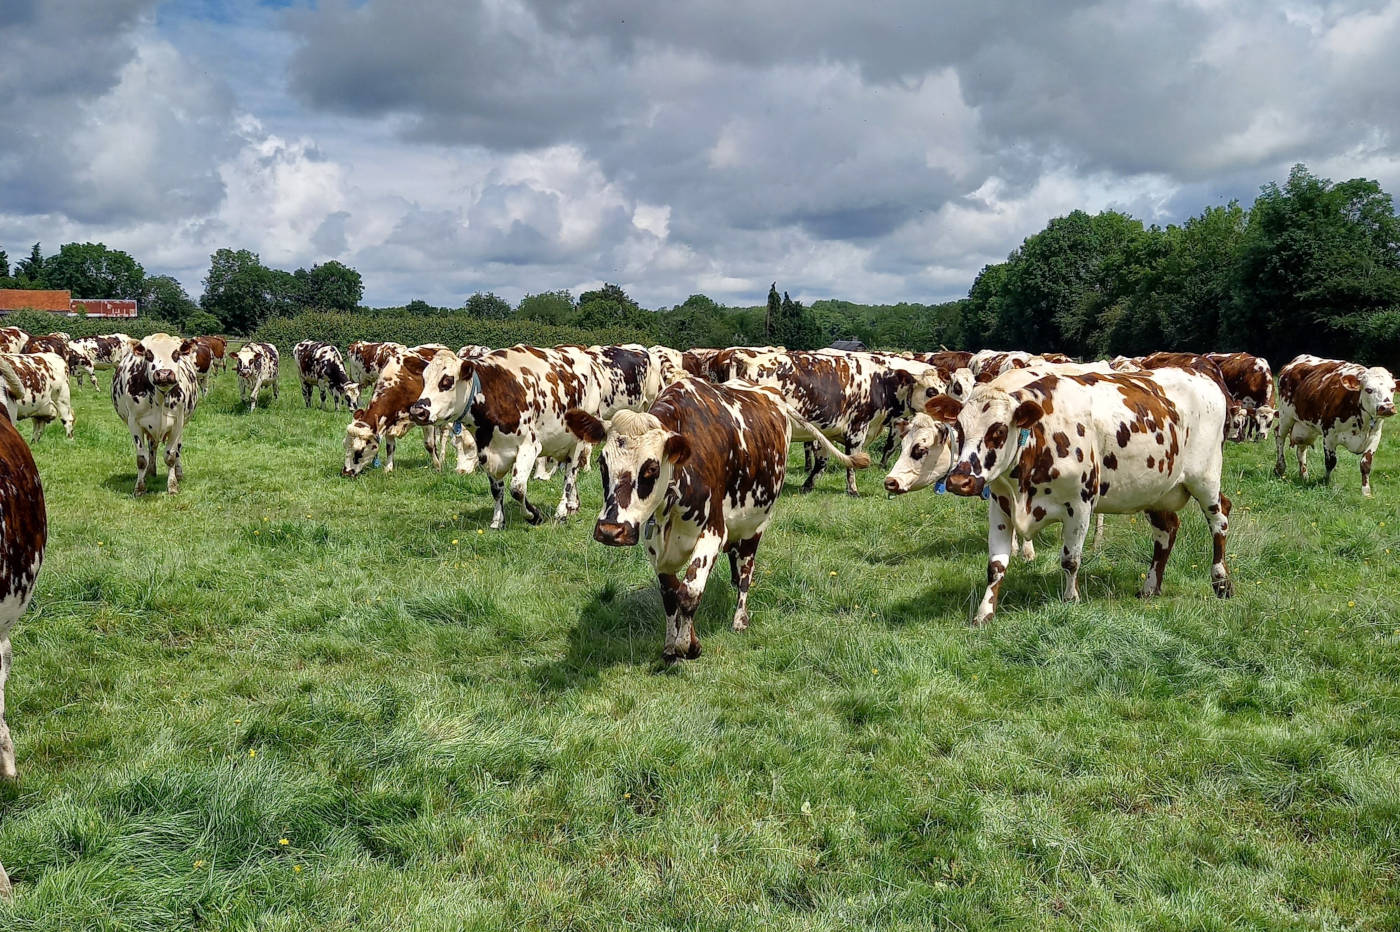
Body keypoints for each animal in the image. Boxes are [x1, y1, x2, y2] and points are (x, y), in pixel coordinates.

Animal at [112, 333, 200, 495]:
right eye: (148, 354)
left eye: (176, 354)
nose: (164, 374)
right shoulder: (134, 423)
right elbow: (141, 459)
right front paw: (140, 488)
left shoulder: (177, 423)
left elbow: (171, 456)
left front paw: (172, 486)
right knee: (152, 447)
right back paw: (150, 472)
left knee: (177, 449)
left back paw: (178, 473)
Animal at [343, 347, 475, 477]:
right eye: (345, 445)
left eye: (359, 451)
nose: (345, 472)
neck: (399, 384)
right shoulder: (389, 420)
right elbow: (390, 447)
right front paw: (388, 468)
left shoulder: (425, 418)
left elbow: (429, 445)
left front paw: (438, 467)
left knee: (444, 434)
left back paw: (442, 456)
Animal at [565, 377, 870, 661]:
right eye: (603, 463)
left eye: (651, 468)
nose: (610, 530)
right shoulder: (654, 544)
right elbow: (671, 594)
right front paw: (670, 645)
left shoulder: (713, 532)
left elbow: (689, 591)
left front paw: (688, 645)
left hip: (756, 524)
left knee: (746, 570)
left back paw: (740, 618)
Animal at [926, 364, 1234, 625]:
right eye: (959, 428)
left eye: (998, 431)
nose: (959, 481)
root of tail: (1201, 372)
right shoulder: (1000, 506)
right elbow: (996, 565)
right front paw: (984, 613)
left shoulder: (1080, 504)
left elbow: (1070, 559)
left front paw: (1070, 600)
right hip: (1154, 489)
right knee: (1167, 529)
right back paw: (1150, 587)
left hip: (1206, 478)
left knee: (1220, 520)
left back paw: (1221, 583)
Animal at [1275, 355, 1396, 496]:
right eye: (1369, 389)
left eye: (1392, 388)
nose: (1387, 407)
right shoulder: (1329, 435)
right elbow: (1330, 462)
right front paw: (1326, 483)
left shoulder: (1375, 436)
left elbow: (1366, 464)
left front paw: (1366, 492)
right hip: (1285, 416)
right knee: (1279, 436)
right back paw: (1280, 468)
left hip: (1306, 427)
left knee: (1301, 448)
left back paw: (1304, 475)